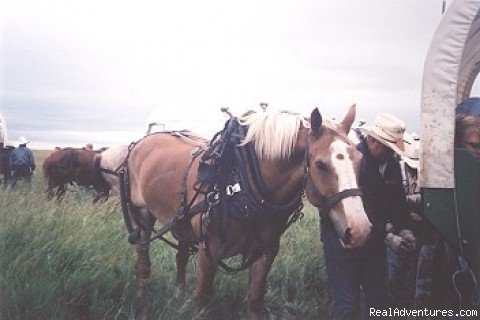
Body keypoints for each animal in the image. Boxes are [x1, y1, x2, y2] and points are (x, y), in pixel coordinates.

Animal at [124, 106, 372, 318]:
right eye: (320, 164)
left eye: (361, 159)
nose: (359, 229)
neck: (240, 183)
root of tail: (142, 142)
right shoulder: (208, 251)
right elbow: (203, 299)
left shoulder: (265, 252)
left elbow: (255, 299)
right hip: (142, 218)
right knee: (143, 264)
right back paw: (143, 303)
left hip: (181, 222)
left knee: (181, 257)